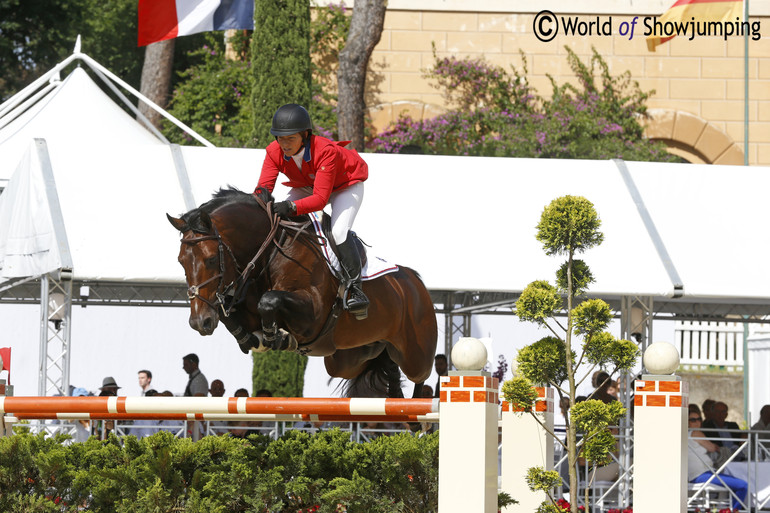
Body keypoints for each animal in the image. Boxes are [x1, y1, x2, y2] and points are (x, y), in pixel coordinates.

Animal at [165, 187, 436, 396]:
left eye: (211, 259)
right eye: (181, 261)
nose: (199, 322)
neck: (271, 251)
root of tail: (416, 282)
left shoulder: (313, 315)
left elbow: (269, 300)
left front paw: (277, 337)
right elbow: (230, 314)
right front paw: (253, 339)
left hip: (416, 355)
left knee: (421, 376)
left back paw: (418, 418)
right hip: (345, 358)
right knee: (383, 362)